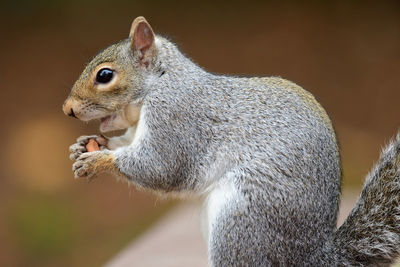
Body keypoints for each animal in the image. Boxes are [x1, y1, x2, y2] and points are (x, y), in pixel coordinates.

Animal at [61, 17, 400, 267]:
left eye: (105, 75)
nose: (68, 109)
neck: (162, 81)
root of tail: (312, 257)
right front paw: (87, 145)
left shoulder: (176, 118)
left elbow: (160, 167)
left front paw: (99, 160)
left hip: (241, 221)